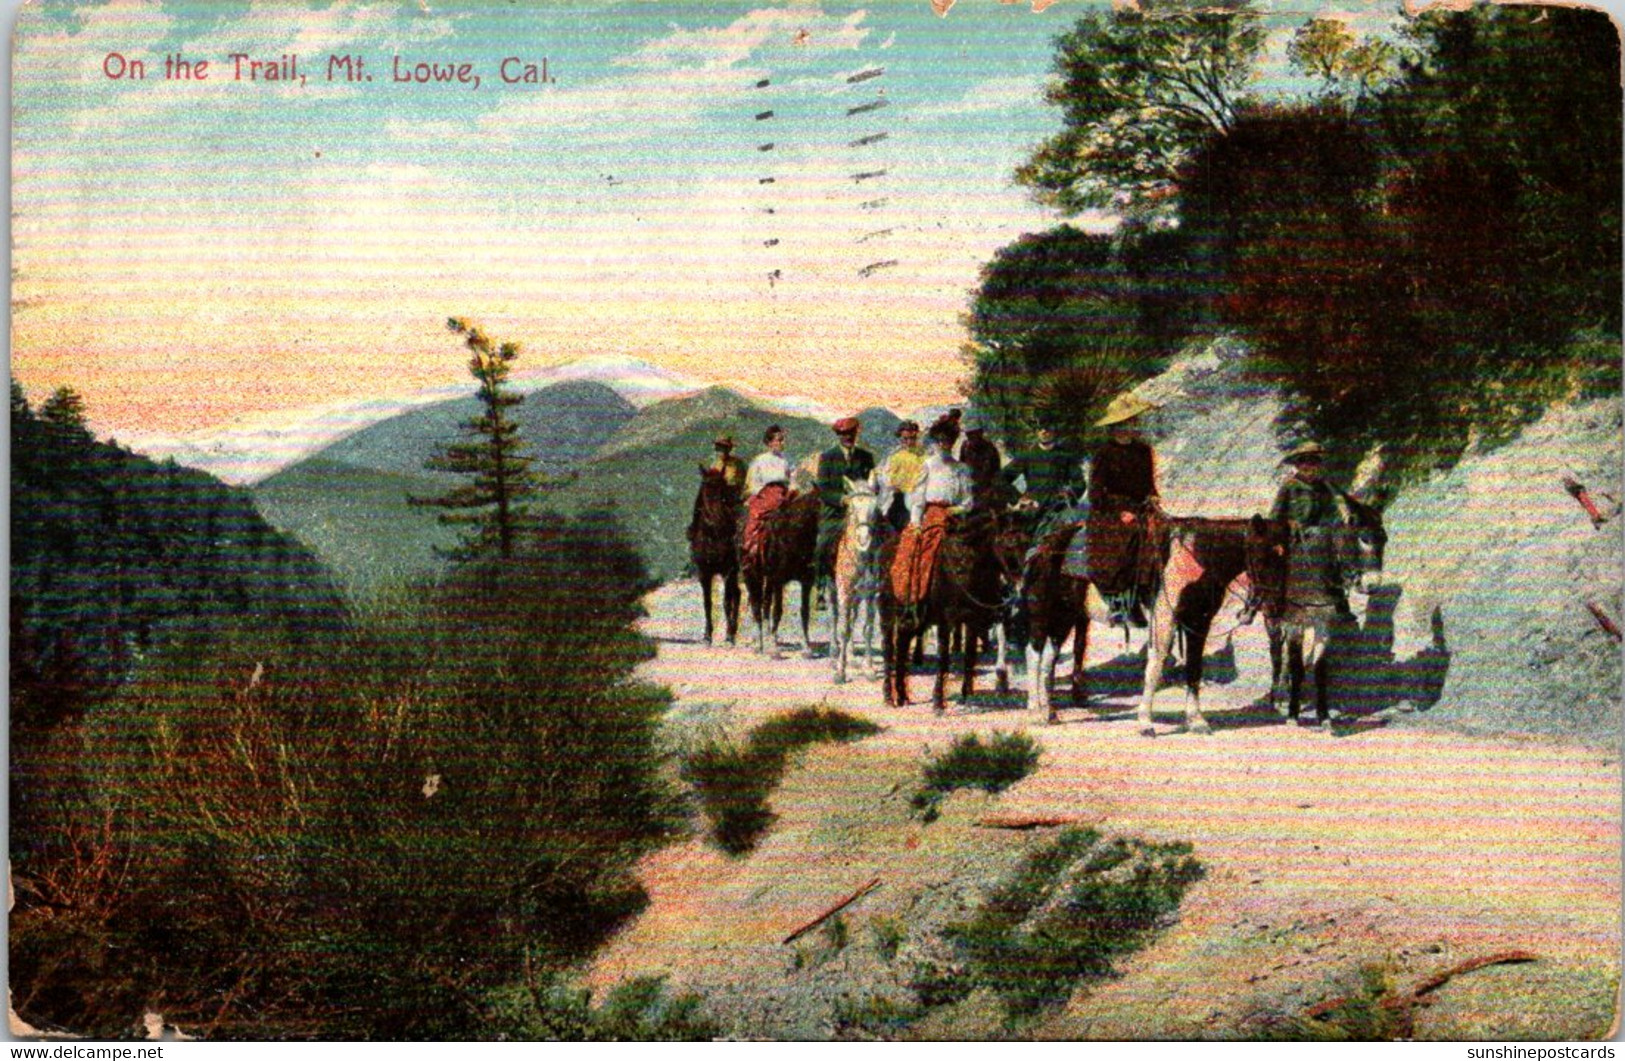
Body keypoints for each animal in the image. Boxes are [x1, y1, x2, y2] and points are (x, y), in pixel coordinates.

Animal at [682, 464, 741, 646]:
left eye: (723, 490)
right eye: (705, 489)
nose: (717, 518)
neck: (712, 537)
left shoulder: (727, 571)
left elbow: (726, 602)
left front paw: (728, 635)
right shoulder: (704, 573)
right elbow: (707, 603)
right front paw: (707, 635)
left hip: (735, 571)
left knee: (735, 595)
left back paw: (732, 631)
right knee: (737, 594)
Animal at [741, 487, 819, 653]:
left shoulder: (806, 581)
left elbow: (805, 611)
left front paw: (806, 645)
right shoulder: (778, 580)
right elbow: (777, 610)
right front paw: (772, 646)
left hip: (767, 579)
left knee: (765, 605)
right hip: (752, 576)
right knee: (757, 607)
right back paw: (760, 642)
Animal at [832, 474, 884, 682]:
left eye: (875, 509)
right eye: (852, 508)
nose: (864, 541)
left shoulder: (870, 595)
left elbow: (867, 629)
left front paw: (868, 668)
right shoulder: (844, 593)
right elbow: (843, 629)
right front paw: (840, 671)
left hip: (857, 597)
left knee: (852, 619)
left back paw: (852, 656)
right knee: (837, 619)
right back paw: (835, 652)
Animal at [884, 503, 1007, 711]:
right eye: (1009, 542)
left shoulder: (972, 620)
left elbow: (969, 656)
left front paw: (967, 696)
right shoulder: (945, 621)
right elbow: (943, 658)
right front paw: (938, 702)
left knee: (901, 645)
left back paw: (902, 696)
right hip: (887, 615)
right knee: (889, 649)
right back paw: (888, 697)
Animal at [1261, 493, 1391, 724]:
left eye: (1384, 539)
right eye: (1364, 539)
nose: (1372, 585)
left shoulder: (1323, 623)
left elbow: (1320, 669)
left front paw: (1324, 716)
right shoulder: (1295, 623)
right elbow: (1297, 667)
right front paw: (1293, 716)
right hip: (1273, 619)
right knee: (1276, 653)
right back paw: (1277, 697)